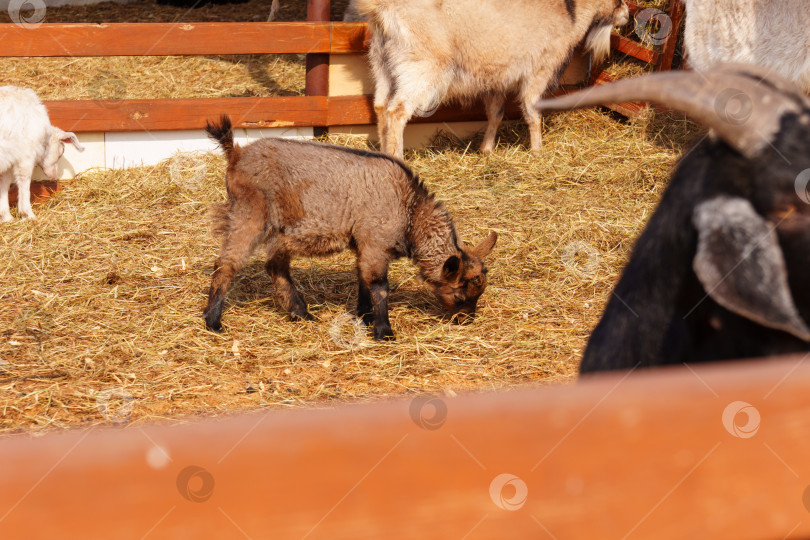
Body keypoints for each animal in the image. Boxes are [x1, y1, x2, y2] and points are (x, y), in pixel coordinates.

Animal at [0, 86, 83, 224]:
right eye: (62, 151)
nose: (54, 175)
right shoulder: (25, 156)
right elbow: (23, 181)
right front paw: (27, 214)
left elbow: (4, 184)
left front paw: (6, 217)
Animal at [356, 0, 628, 158]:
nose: (626, 13)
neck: (569, 11)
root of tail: (384, 10)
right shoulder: (539, 70)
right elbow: (532, 111)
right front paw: (537, 150)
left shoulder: (497, 77)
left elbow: (495, 113)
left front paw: (486, 149)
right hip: (420, 67)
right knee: (397, 111)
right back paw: (398, 158)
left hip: (383, 64)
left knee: (380, 107)